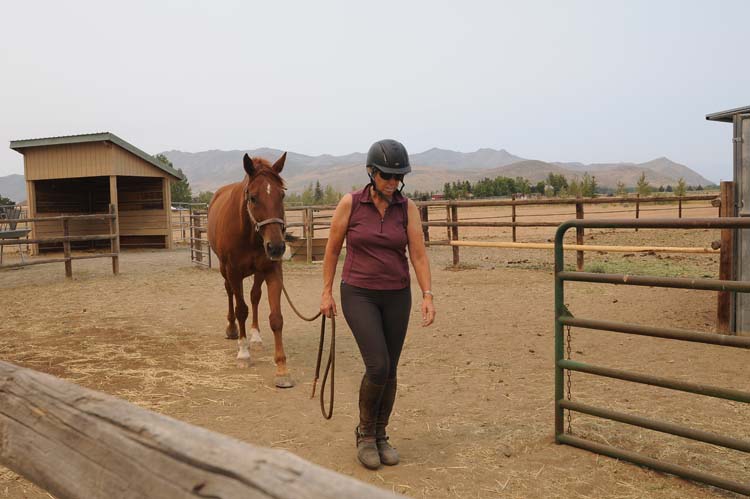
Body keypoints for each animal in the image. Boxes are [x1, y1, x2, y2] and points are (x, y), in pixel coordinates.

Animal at [210, 151, 296, 386]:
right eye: (253, 198)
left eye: (281, 196)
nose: (276, 247)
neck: (248, 232)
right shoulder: (233, 271)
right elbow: (241, 309)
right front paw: (243, 354)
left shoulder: (273, 271)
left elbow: (276, 318)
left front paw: (282, 369)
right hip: (224, 270)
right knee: (231, 294)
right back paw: (232, 329)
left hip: (258, 272)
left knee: (255, 296)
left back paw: (255, 337)